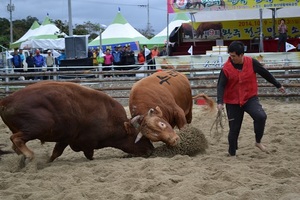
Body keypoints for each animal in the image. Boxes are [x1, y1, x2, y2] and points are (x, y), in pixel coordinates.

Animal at [0, 82, 154, 162]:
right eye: (138, 136)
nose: (151, 149)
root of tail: (6, 100)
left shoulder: (66, 138)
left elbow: (56, 153)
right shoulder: (86, 143)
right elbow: (88, 156)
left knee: (15, 144)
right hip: (37, 127)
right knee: (16, 138)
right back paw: (29, 155)